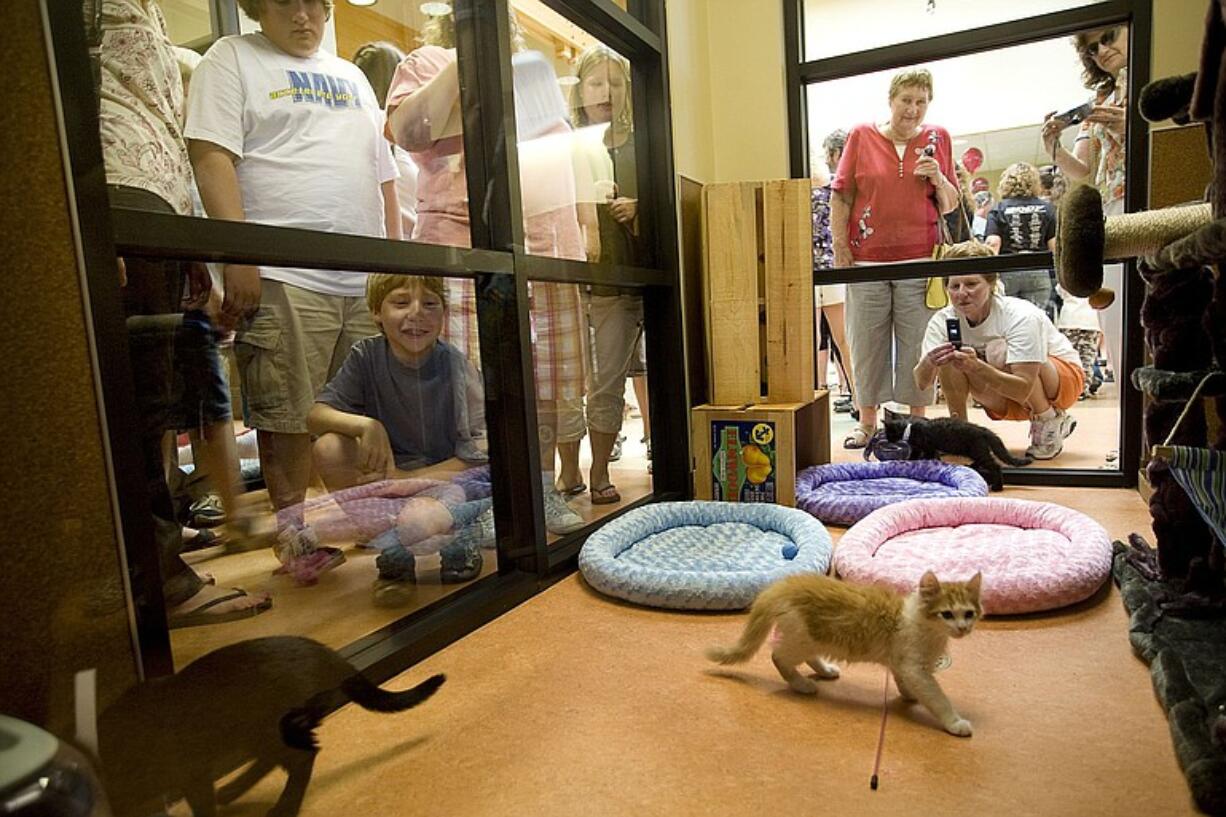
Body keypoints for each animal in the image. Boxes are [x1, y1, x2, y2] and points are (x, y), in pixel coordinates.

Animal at [100, 637, 446, 814]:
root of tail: (332, 657)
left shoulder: (191, 771)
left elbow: (200, 803)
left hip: (269, 726)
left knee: (303, 757)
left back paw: (283, 808)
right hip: (260, 730)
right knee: (279, 758)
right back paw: (234, 790)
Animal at [706, 569, 980, 736]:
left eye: (969, 613)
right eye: (947, 614)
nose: (963, 628)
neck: (922, 625)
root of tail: (784, 585)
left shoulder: (902, 662)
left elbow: (903, 679)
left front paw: (908, 694)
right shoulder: (916, 668)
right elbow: (937, 697)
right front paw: (955, 722)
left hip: (810, 639)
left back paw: (825, 670)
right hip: (802, 637)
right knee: (778, 656)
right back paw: (801, 684)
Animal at [882, 414, 1034, 490]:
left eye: (888, 433)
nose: (887, 439)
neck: (909, 429)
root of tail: (982, 429)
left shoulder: (927, 447)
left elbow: (924, 456)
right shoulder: (925, 448)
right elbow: (921, 456)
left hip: (978, 451)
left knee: (995, 466)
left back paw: (998, 486)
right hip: (976, 451)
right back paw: (972, 466)